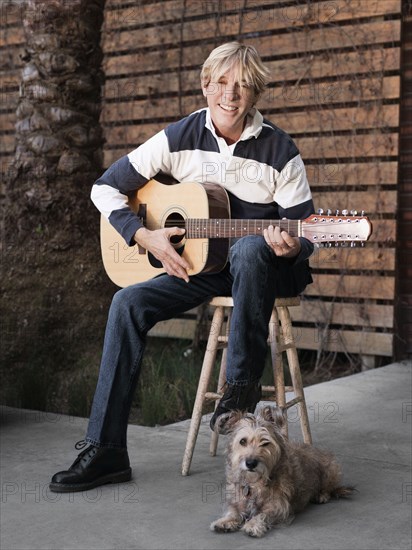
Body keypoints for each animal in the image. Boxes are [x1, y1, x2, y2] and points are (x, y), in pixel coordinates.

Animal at [211, 410, 352, 540]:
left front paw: (252, 524)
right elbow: (234, 511)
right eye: (242, 441)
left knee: (329, 488)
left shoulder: (279, 507)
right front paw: (225, 521)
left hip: (331, 469)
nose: (250, 463)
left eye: (265, 442)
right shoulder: (237, 500)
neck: (255, 482)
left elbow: (262, 514)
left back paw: (321, 495)